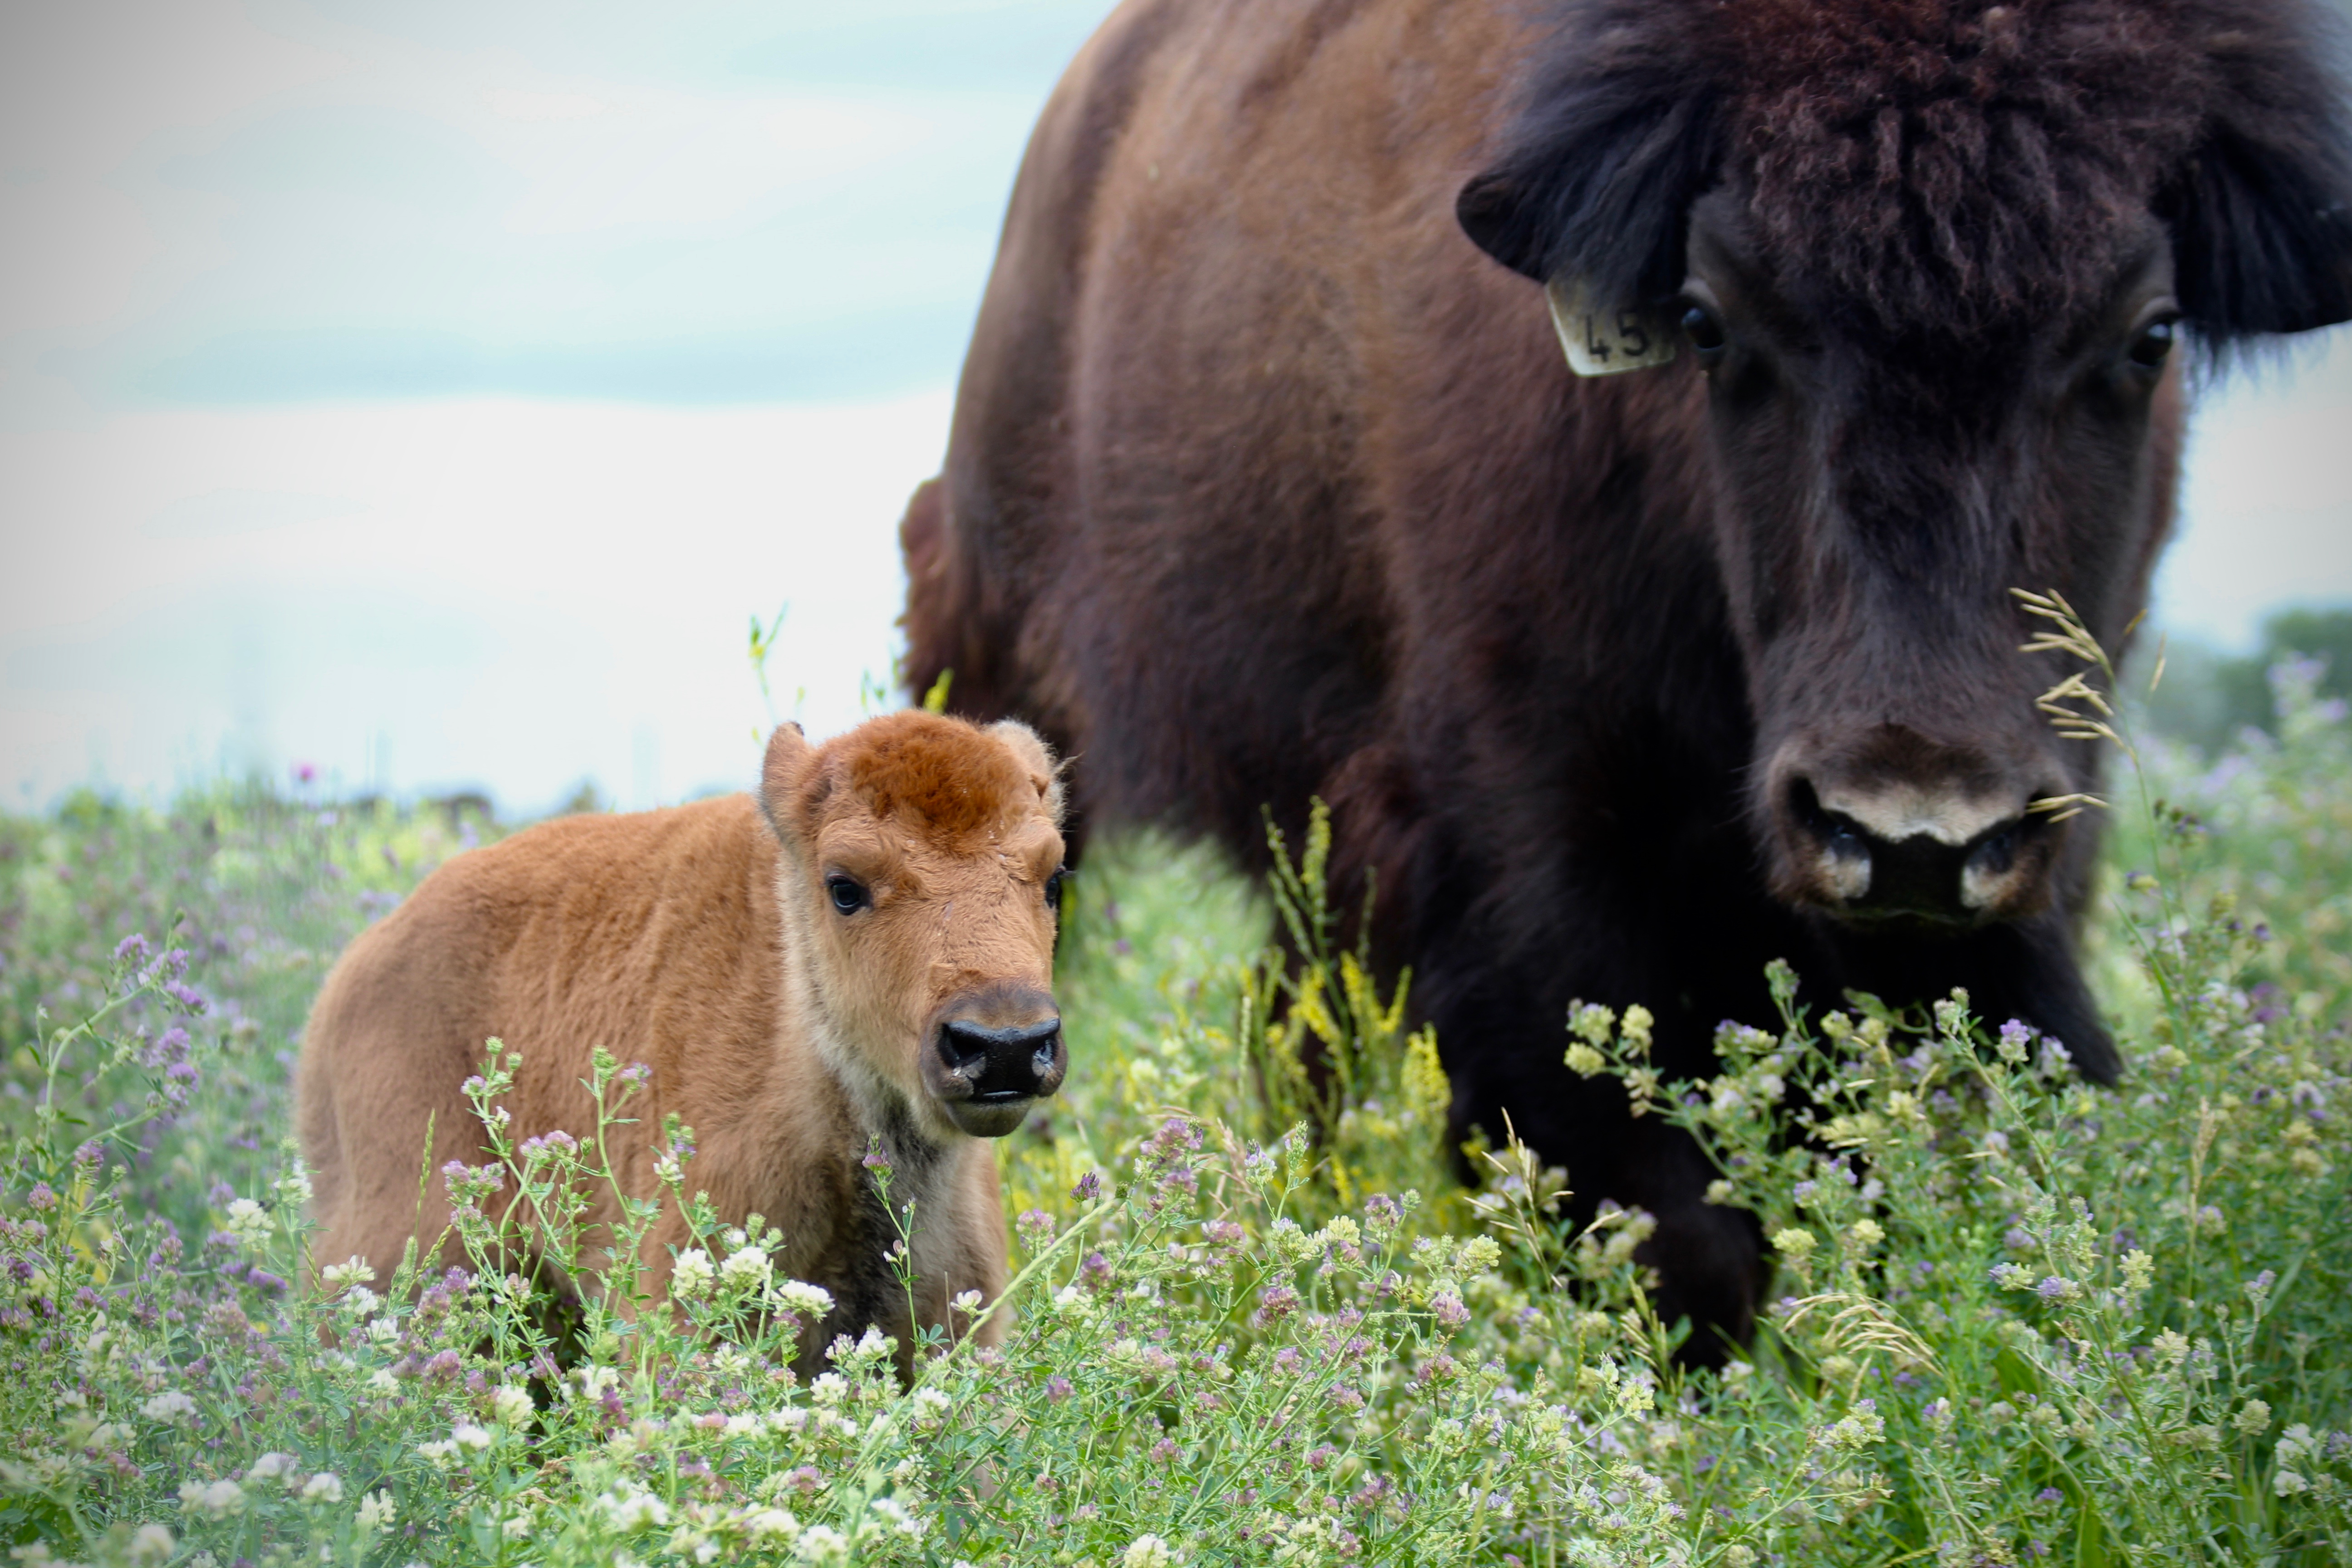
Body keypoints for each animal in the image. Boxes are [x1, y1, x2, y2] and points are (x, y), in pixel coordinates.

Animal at [898, 0, 2352, 1354]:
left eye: (2149, 332)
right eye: (1708, 321)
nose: (1908, 831)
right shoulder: (1535, 881)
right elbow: (1662, 1219)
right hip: (1010, 688)